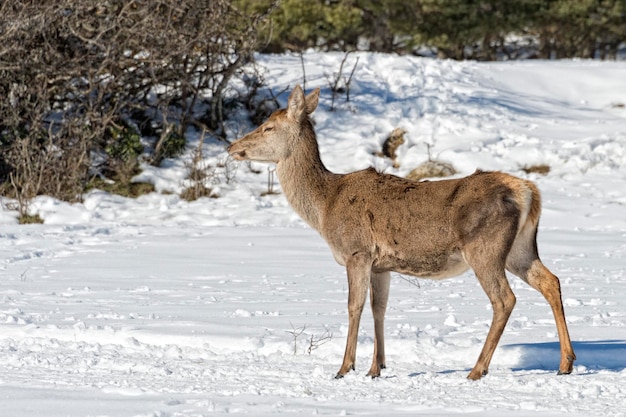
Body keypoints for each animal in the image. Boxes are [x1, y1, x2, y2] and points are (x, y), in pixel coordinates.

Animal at [227, 85, 572, 380]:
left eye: (268, 127)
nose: (232, 146)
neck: (325, 207)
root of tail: (527, 192)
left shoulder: (357, 251)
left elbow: (354, 306)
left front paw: (345, 368)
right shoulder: (381, 265)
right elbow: (379, 309)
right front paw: (376, 368)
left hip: (484, 247)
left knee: (504, 299)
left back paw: (477, 369)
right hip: (519, 249)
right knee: (550, 281)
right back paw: (565, 363)